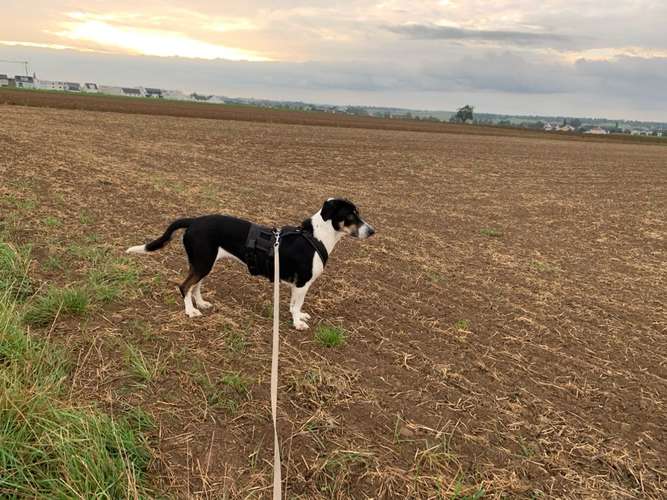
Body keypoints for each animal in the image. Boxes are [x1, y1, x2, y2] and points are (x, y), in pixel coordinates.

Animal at [125, 197, 376, 330]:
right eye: (351, 216)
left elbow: (295, 305)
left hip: (204, 263)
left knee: (195, 286)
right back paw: (190, 311)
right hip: (203, 262)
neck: (316, 237)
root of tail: (194, 221)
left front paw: (299, 316)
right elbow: (296, 305)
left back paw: (201, 304)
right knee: (185, 286)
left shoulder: (298, 286)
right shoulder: (302, 283)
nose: (372, 231)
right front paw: (297, 323)